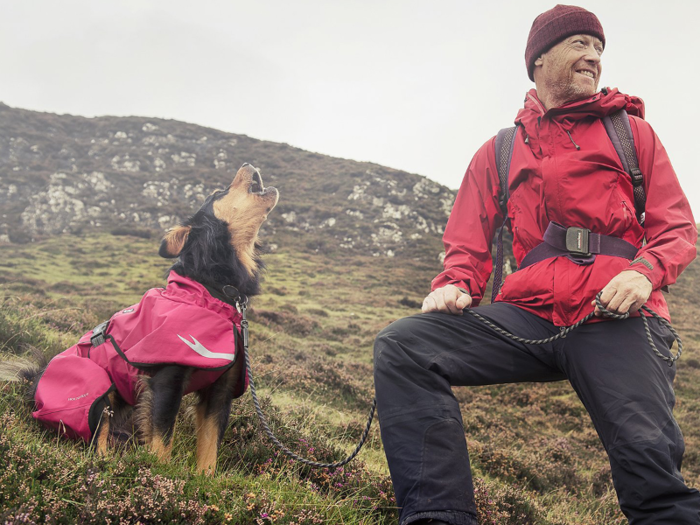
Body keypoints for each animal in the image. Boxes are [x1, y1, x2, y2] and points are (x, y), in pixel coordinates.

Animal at [15, 162, 278, 472]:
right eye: (218, 192)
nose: (247, 164)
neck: (211, 295)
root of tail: (34, 384)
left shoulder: (221, 390)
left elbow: (210, 449)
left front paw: (202, 479)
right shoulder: (167, 381)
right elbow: (163, 439)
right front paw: (158, 472)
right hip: (99, 385)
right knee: (96, 438)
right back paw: (108, 462)